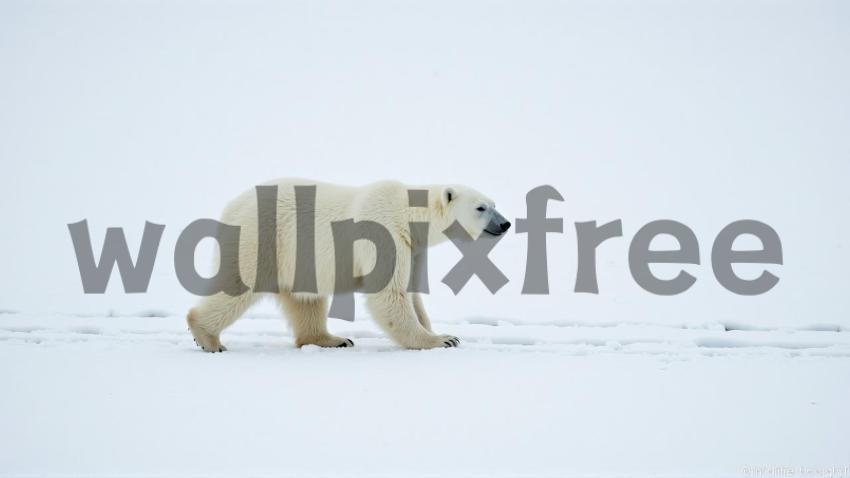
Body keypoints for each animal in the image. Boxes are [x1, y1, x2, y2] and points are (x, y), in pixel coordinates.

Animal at [188, 179, 506, 352]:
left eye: (494, 203)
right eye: (481, 208)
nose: (505, 223)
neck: (407, 212)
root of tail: (231, 207)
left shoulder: (414, 248)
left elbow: (412, 293)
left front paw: (441, 332)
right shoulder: (385, 233)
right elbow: (389, 294)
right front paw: (441, 340)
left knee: (306, 301)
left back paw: (333, 339)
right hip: (262, 237)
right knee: (237, 285)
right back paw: (208, 337)